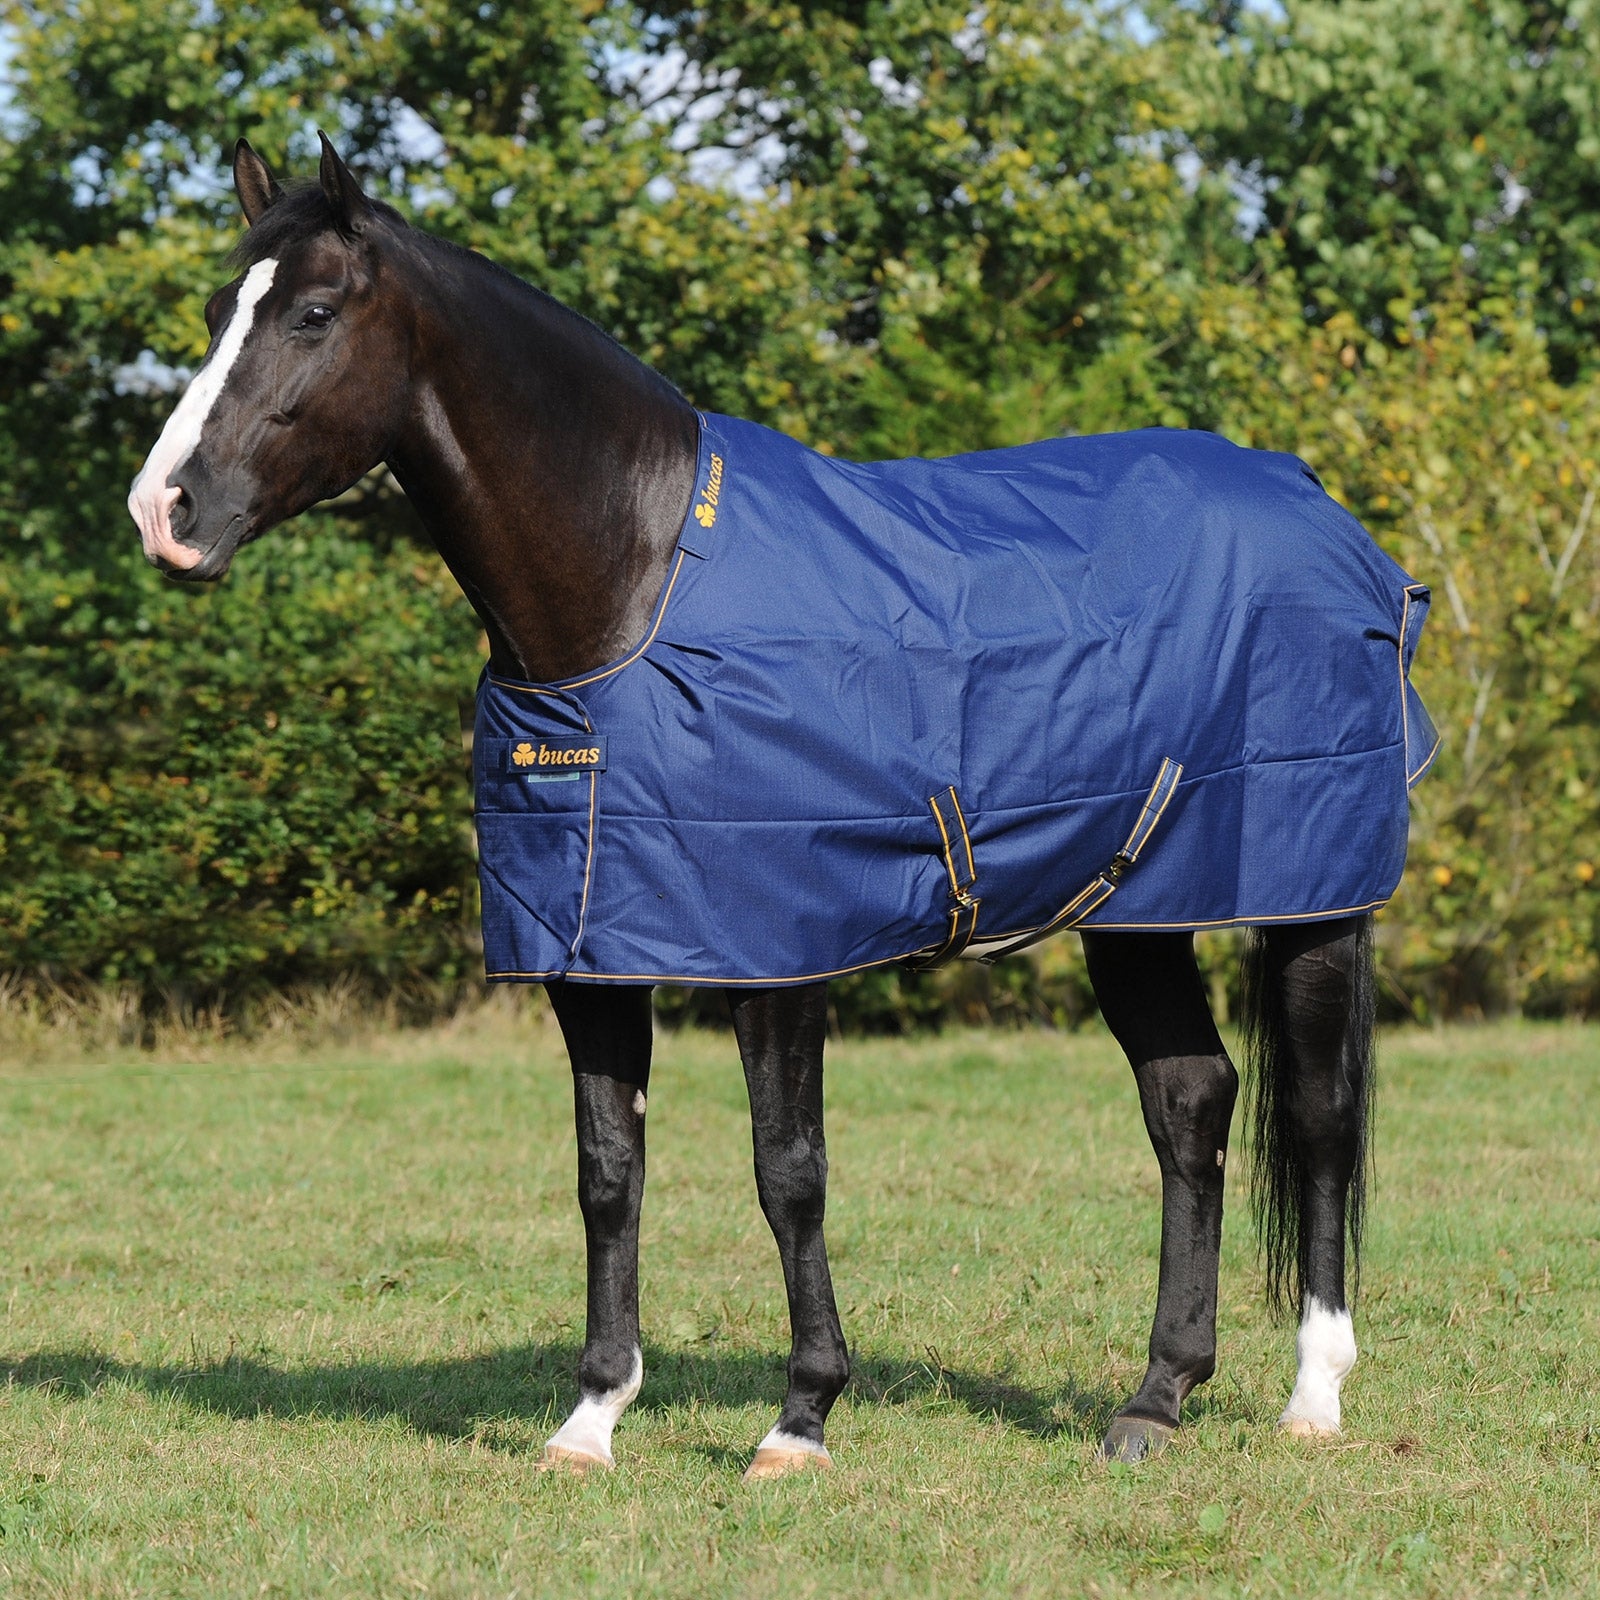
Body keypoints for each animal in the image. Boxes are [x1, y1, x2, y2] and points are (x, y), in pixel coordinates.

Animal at [128, 134, 1433, 1479]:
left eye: (312, 313)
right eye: (218, 309)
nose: (164, 513)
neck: (634, 589)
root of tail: (1322, 511)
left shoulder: (780, 952)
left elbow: (786, 1169)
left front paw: (800, 1415)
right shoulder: (589, 951)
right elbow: (608, 1170)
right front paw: (591, 1415)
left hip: (1310, 899)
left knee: (1319, 1118)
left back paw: (1312, 1393)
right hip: (1135, 907)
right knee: (1190, 1102)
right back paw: (1155, 1395)